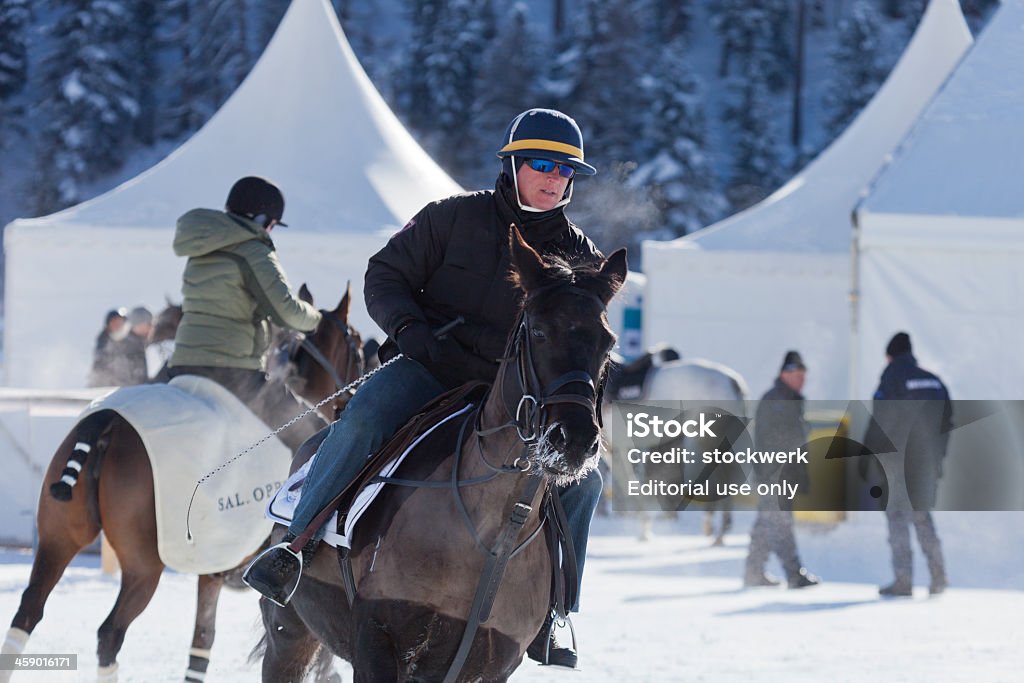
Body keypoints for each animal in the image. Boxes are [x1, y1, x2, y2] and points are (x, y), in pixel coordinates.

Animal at [1, 282, 364, 683]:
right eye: (361, 349)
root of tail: (106, 420)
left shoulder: (212, 571)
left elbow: (201, 643)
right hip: (144, 566)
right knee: (110, 633)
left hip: (58, 538)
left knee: (28, 611)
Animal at [254, 231, 622, 683]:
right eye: (538, 331)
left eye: (608, 342)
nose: (575, 439)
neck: (493, 531)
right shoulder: (377, 640)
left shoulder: (490, 664)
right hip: (289, 632)